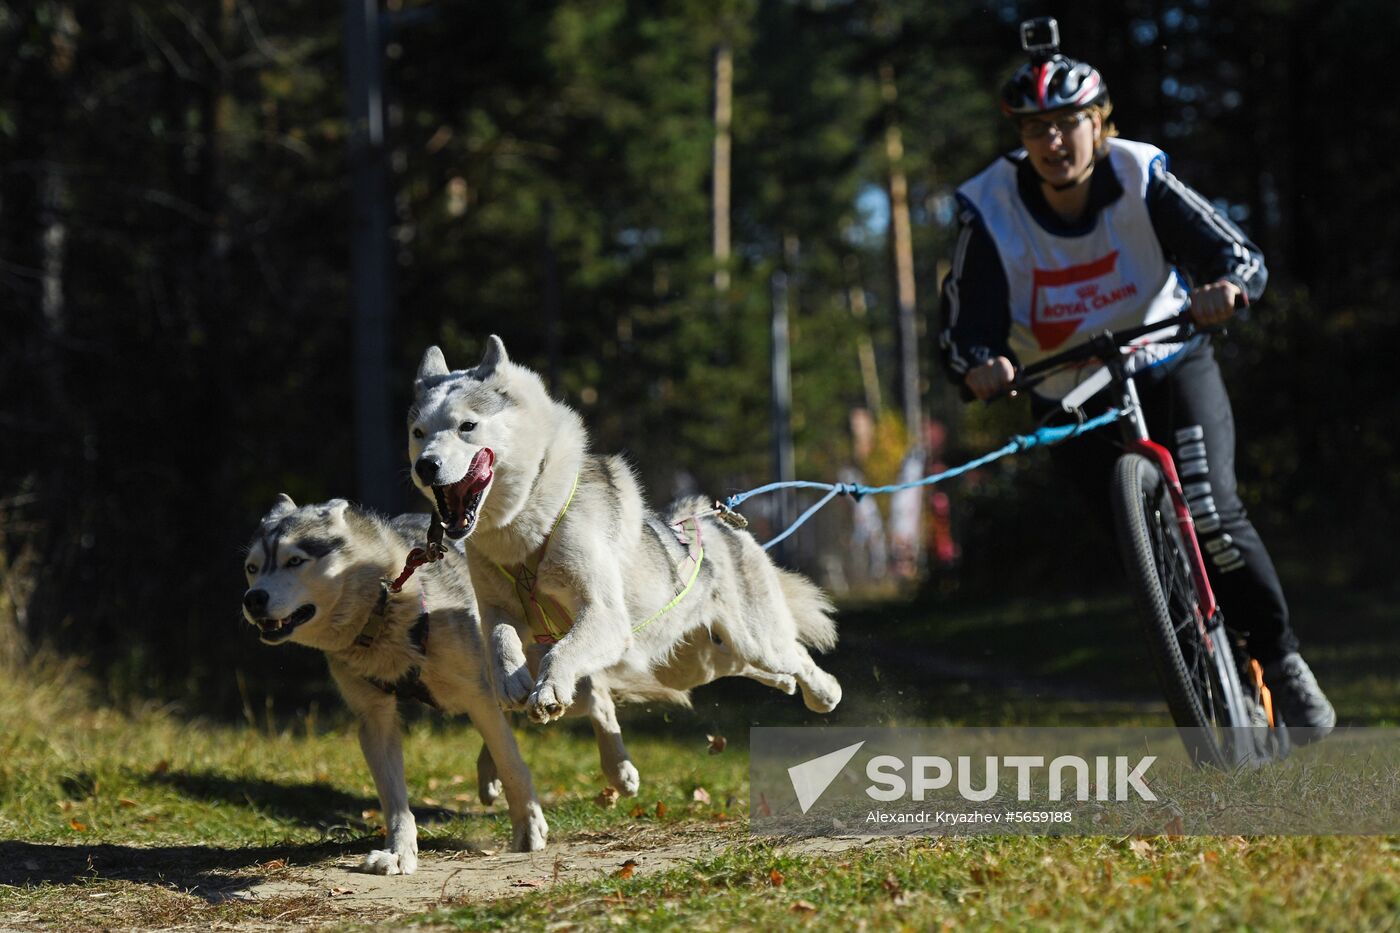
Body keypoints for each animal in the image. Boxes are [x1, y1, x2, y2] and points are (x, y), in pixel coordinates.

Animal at [240, 498, 546, 868]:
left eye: (294, 560)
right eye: (252, 568)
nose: (253, 599)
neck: (384, 610)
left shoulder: (478, 697)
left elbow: (512, 763)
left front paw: (529, 827)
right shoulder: (374, 718)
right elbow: (393, 799)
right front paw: (399, 852)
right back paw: (487, 774)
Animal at [406, 336, 840, 784]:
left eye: (467, 426)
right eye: (418, 433)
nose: (425, 466)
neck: (525, 530)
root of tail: (716, 520)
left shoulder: (604, 615)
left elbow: (562, 651)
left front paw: (548, 688)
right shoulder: (496, 608)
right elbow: (500, 639)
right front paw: (512, 681)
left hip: (753, 641)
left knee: (794, 655)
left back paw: (823, 692)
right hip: (687, 665)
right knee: (742, 664)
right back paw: (785, 684)